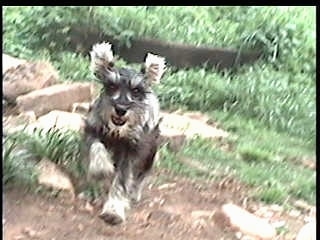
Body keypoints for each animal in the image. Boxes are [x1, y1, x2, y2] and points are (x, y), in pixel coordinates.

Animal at [84, 42, 166, 225]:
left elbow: (121, 180)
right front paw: (101, 169)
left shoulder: (131, 152)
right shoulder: (93, 131)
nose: (120, 109)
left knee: (141, 176)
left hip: (149, 154)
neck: (118, 132)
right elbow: (96, 148)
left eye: (136, 91)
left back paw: (134, 193)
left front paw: (113, 210)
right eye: (111, 86)